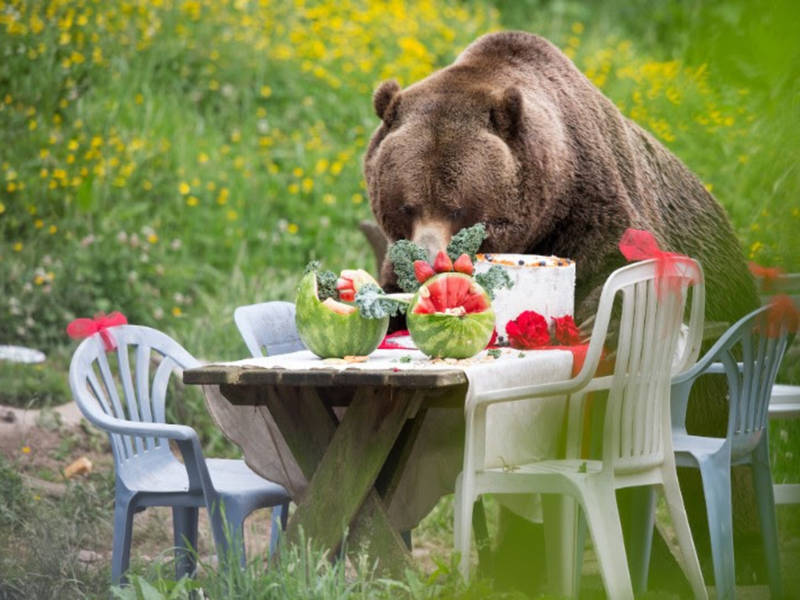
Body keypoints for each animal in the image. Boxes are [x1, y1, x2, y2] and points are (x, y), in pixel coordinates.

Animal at [364, 31, 761, 591]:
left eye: (458, 206)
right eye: (404, 204)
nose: (426, 262)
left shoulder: (593, 205)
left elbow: (624, 263)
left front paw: (601, 322)